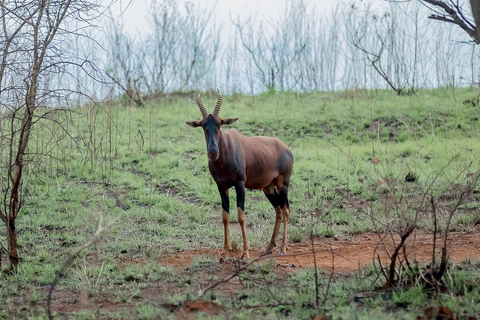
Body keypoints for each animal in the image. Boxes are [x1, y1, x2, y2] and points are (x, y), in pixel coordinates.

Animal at [187, 91, 292, 258]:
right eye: (203, 126)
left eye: (219, 124)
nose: (213, 152)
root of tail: (287, 148)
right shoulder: (221, 186)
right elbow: (225, 217)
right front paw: (224, 253)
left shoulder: (240, 184)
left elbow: (241, 217)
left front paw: (245, 253)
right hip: (268, 187)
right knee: (278, 210)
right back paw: (269, 247)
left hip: (283, 183)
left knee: (286, 210)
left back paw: (282, 249)